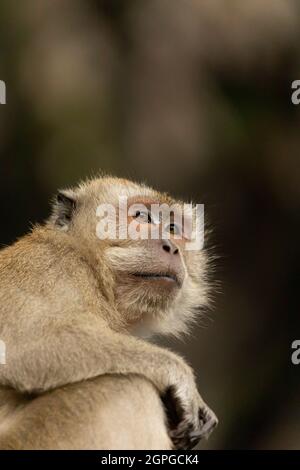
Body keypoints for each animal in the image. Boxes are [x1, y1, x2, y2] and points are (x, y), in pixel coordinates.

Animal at [0, 175, 218, 448]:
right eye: (142, 216)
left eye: (173, 228)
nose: (172, 247)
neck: (92, 266)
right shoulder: (48, 266)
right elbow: (23, 344)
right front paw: (178, 373)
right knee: (127, 385)